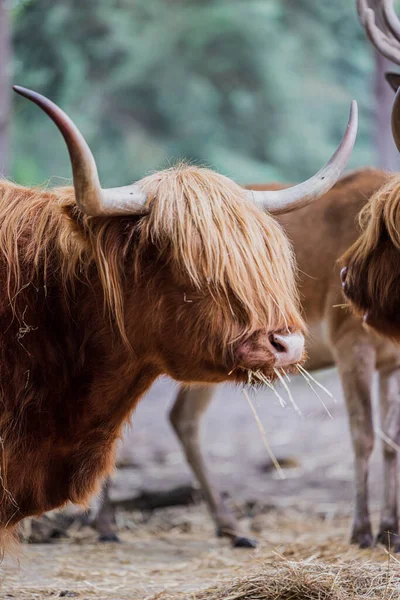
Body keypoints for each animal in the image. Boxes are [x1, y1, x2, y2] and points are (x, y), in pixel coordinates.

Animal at [94, 169, 400, 552]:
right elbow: (363, 435)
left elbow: (391, 441)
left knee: (182, 417)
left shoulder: (391, 362)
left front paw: (391, 531)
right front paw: (361, 532)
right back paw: (105, 524)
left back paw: (231, 527)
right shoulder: (350, 342)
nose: (345, 276)